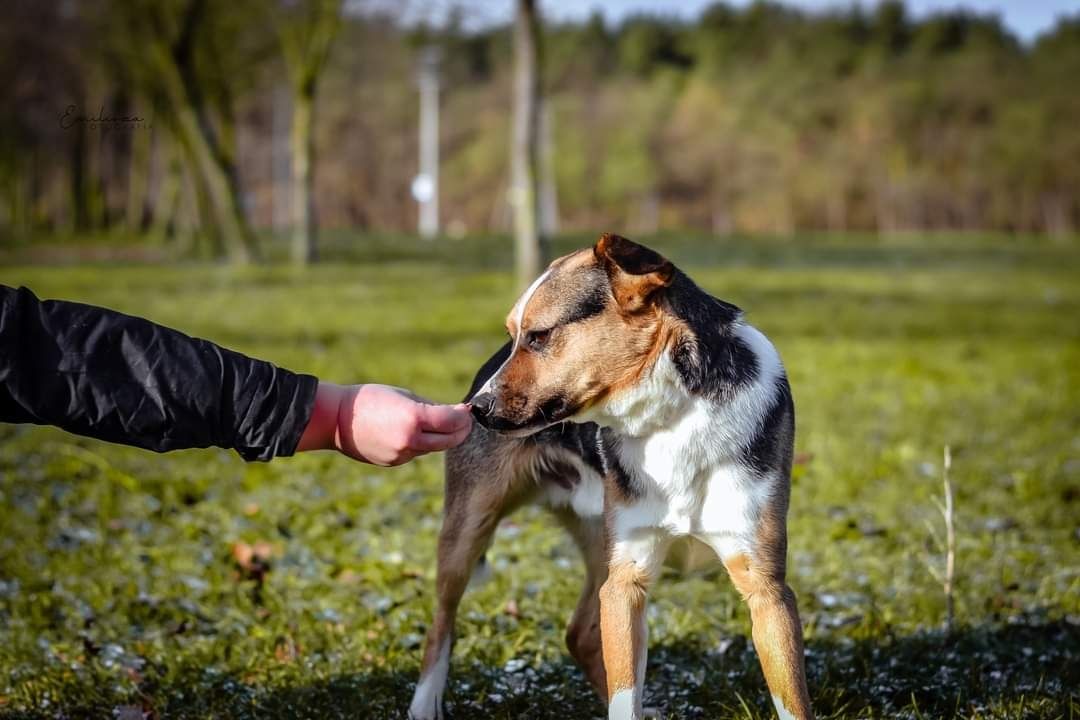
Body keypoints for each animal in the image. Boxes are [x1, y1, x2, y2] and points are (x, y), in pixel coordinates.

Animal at [406, 236, 812, 720]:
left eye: (538, 336)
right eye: (513, 336)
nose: (476, 410)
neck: (672, 418)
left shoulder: (767, 589)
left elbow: (792, 698)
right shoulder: (626, 580)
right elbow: (624, 693)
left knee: (579, 633)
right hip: (469, 528)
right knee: (441, 623)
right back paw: (424, 702)